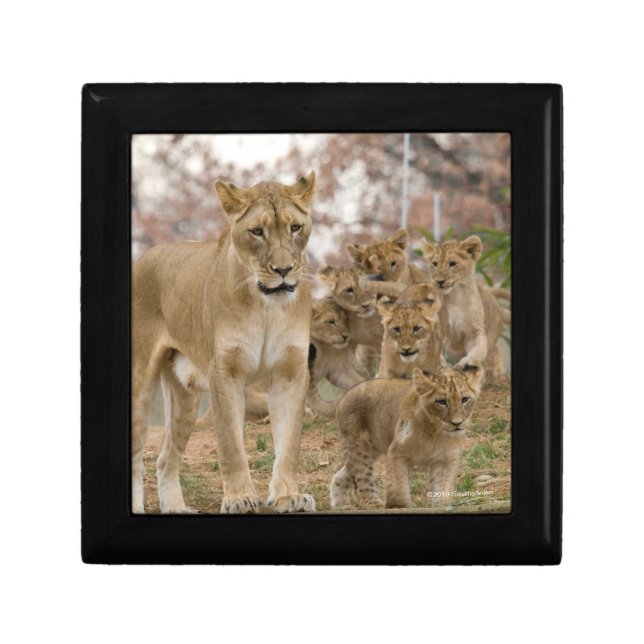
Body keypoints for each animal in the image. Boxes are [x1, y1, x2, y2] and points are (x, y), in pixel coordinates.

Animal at [131, 173, 317, 514]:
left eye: (295, 227)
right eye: (257, 231)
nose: (284, 270)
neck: (266, 305)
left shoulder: (291, 372)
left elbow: (289, 442)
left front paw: (288, 496)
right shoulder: (225, 372)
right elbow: (231, 444)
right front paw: (240, 498)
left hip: (185, 396)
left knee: (165, 459)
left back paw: (176, 509)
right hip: (139, 385)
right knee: (137, 453)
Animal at [330, 363, 484, 510]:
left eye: (465, 399)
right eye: (441, 402)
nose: (457, 423)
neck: (436, 434)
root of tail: (344, 397)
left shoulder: (445, 459)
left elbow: (442, 487)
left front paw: (442, 505)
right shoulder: (396, 452)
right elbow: (398, 486)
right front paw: (398, 506)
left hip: (370, 450)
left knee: (341, 474)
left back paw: (341, 505)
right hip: (359, 449)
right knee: (362, 485)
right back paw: (375, 506)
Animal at [421, 236, 506, 377]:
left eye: (452, 264)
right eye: (434, 264)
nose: (439, 281)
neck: (454, 297)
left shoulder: (475, 331)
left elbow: (479, 349)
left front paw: (467, 362)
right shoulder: (438, 329)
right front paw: (440, 364)